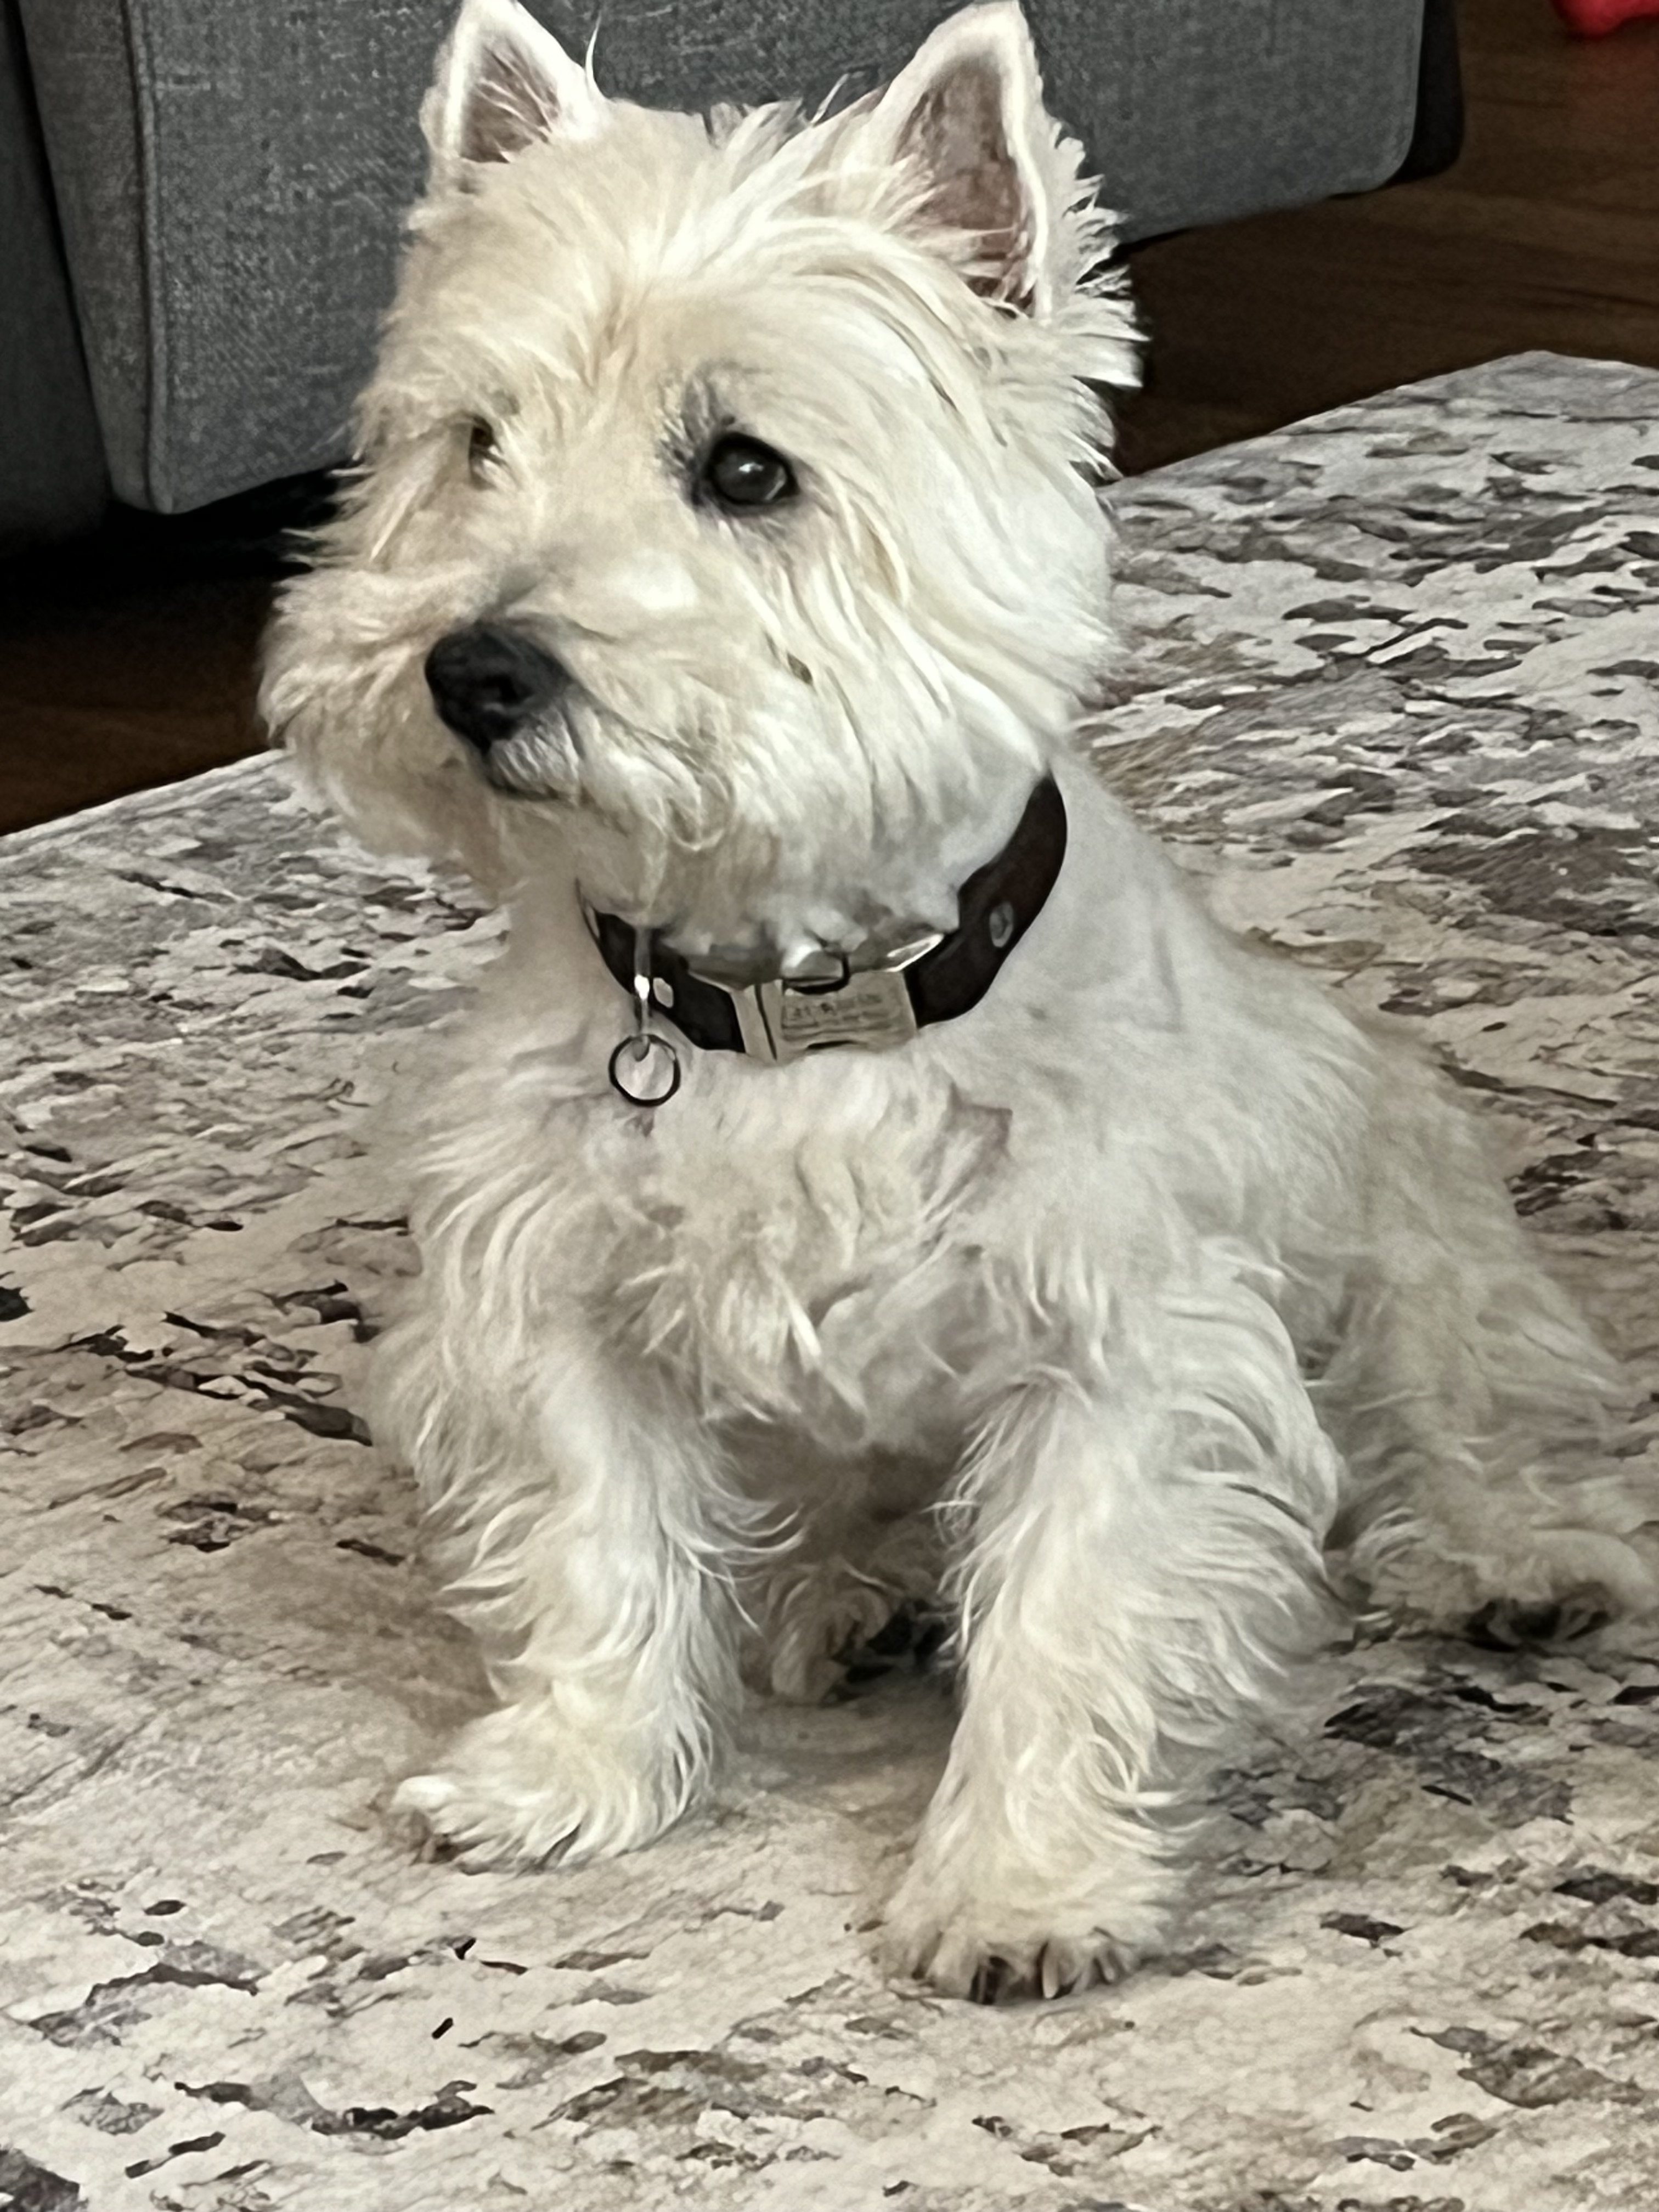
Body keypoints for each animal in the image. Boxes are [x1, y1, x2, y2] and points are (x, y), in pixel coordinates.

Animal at [261, 0, 1654, 2001]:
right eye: (475, 443)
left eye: (745, 470)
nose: (473, 668)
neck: (794, 995)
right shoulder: (547, 1299)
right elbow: (598, 1539)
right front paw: (571, 1776)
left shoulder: (1121, 1344)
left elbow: (1070, 1614)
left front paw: (1017, 1890)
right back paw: (838, 1596)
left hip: (1402, 1217)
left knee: (1453, 1410)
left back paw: (1509, 1563)